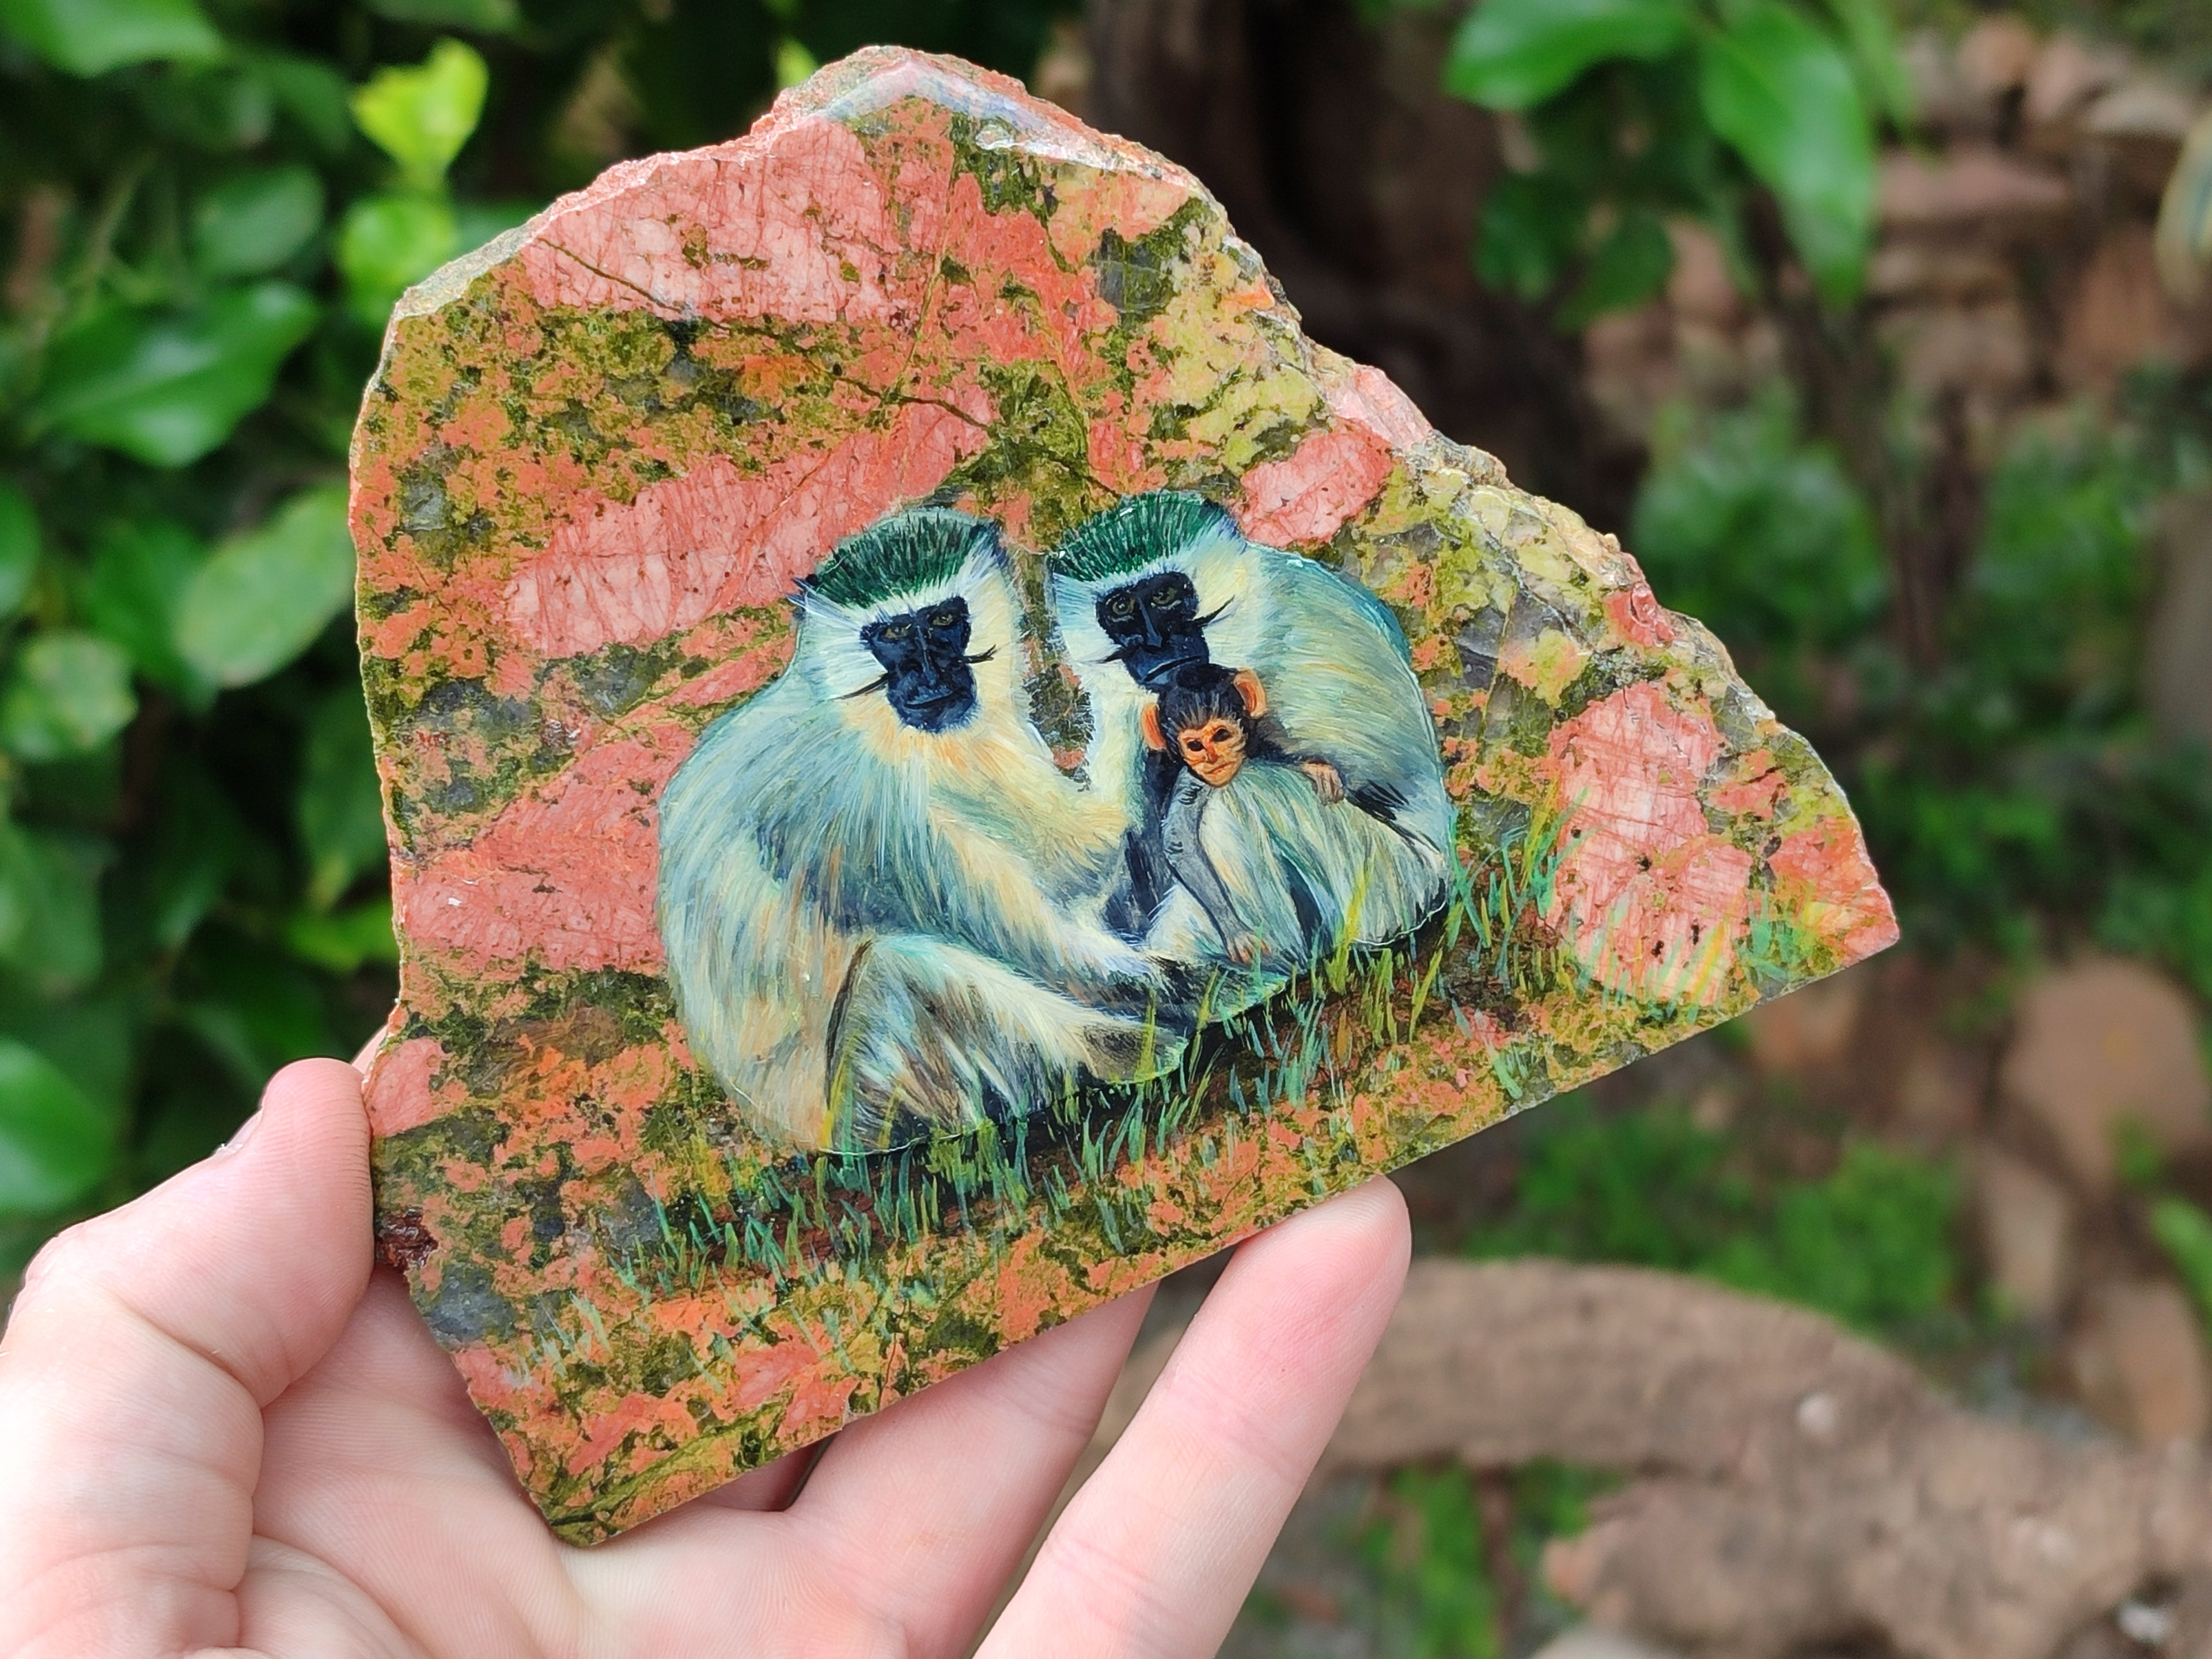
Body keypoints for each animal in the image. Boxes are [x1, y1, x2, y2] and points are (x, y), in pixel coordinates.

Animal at [657, 507, 1174, 1155]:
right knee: (901, 973)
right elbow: (1046, 931)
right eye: (895, 635)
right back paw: (1135, 1054)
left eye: (944, 621)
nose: (931, 676)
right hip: (868, 1108)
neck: (860, 714)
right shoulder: (866, 802)